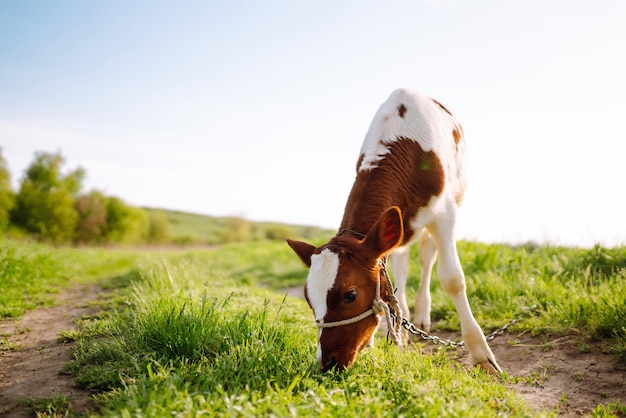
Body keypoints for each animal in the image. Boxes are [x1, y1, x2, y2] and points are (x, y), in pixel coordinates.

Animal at [286, 87, 500, 372]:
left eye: (350, 295)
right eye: (308, 299)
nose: (327, 363)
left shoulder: (446, 212)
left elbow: (453, 278)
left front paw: (481, 353)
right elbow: (387, 273)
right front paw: (375, 339)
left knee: (427, 258)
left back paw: (421, 314)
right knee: (402, 265)